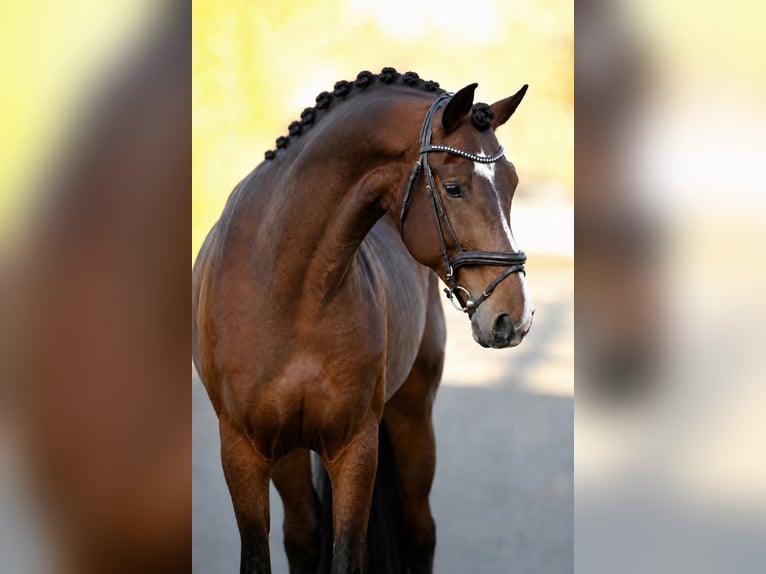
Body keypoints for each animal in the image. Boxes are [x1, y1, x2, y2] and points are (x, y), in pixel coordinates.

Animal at [192, 67, 534, 574]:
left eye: (511, 183)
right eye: (454, 187)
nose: (516, 316)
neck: (288, 289)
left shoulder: (355, 447)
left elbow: (347, 553)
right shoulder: (243, 451)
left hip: (413, 414)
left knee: (420, 529)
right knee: (303, 534)